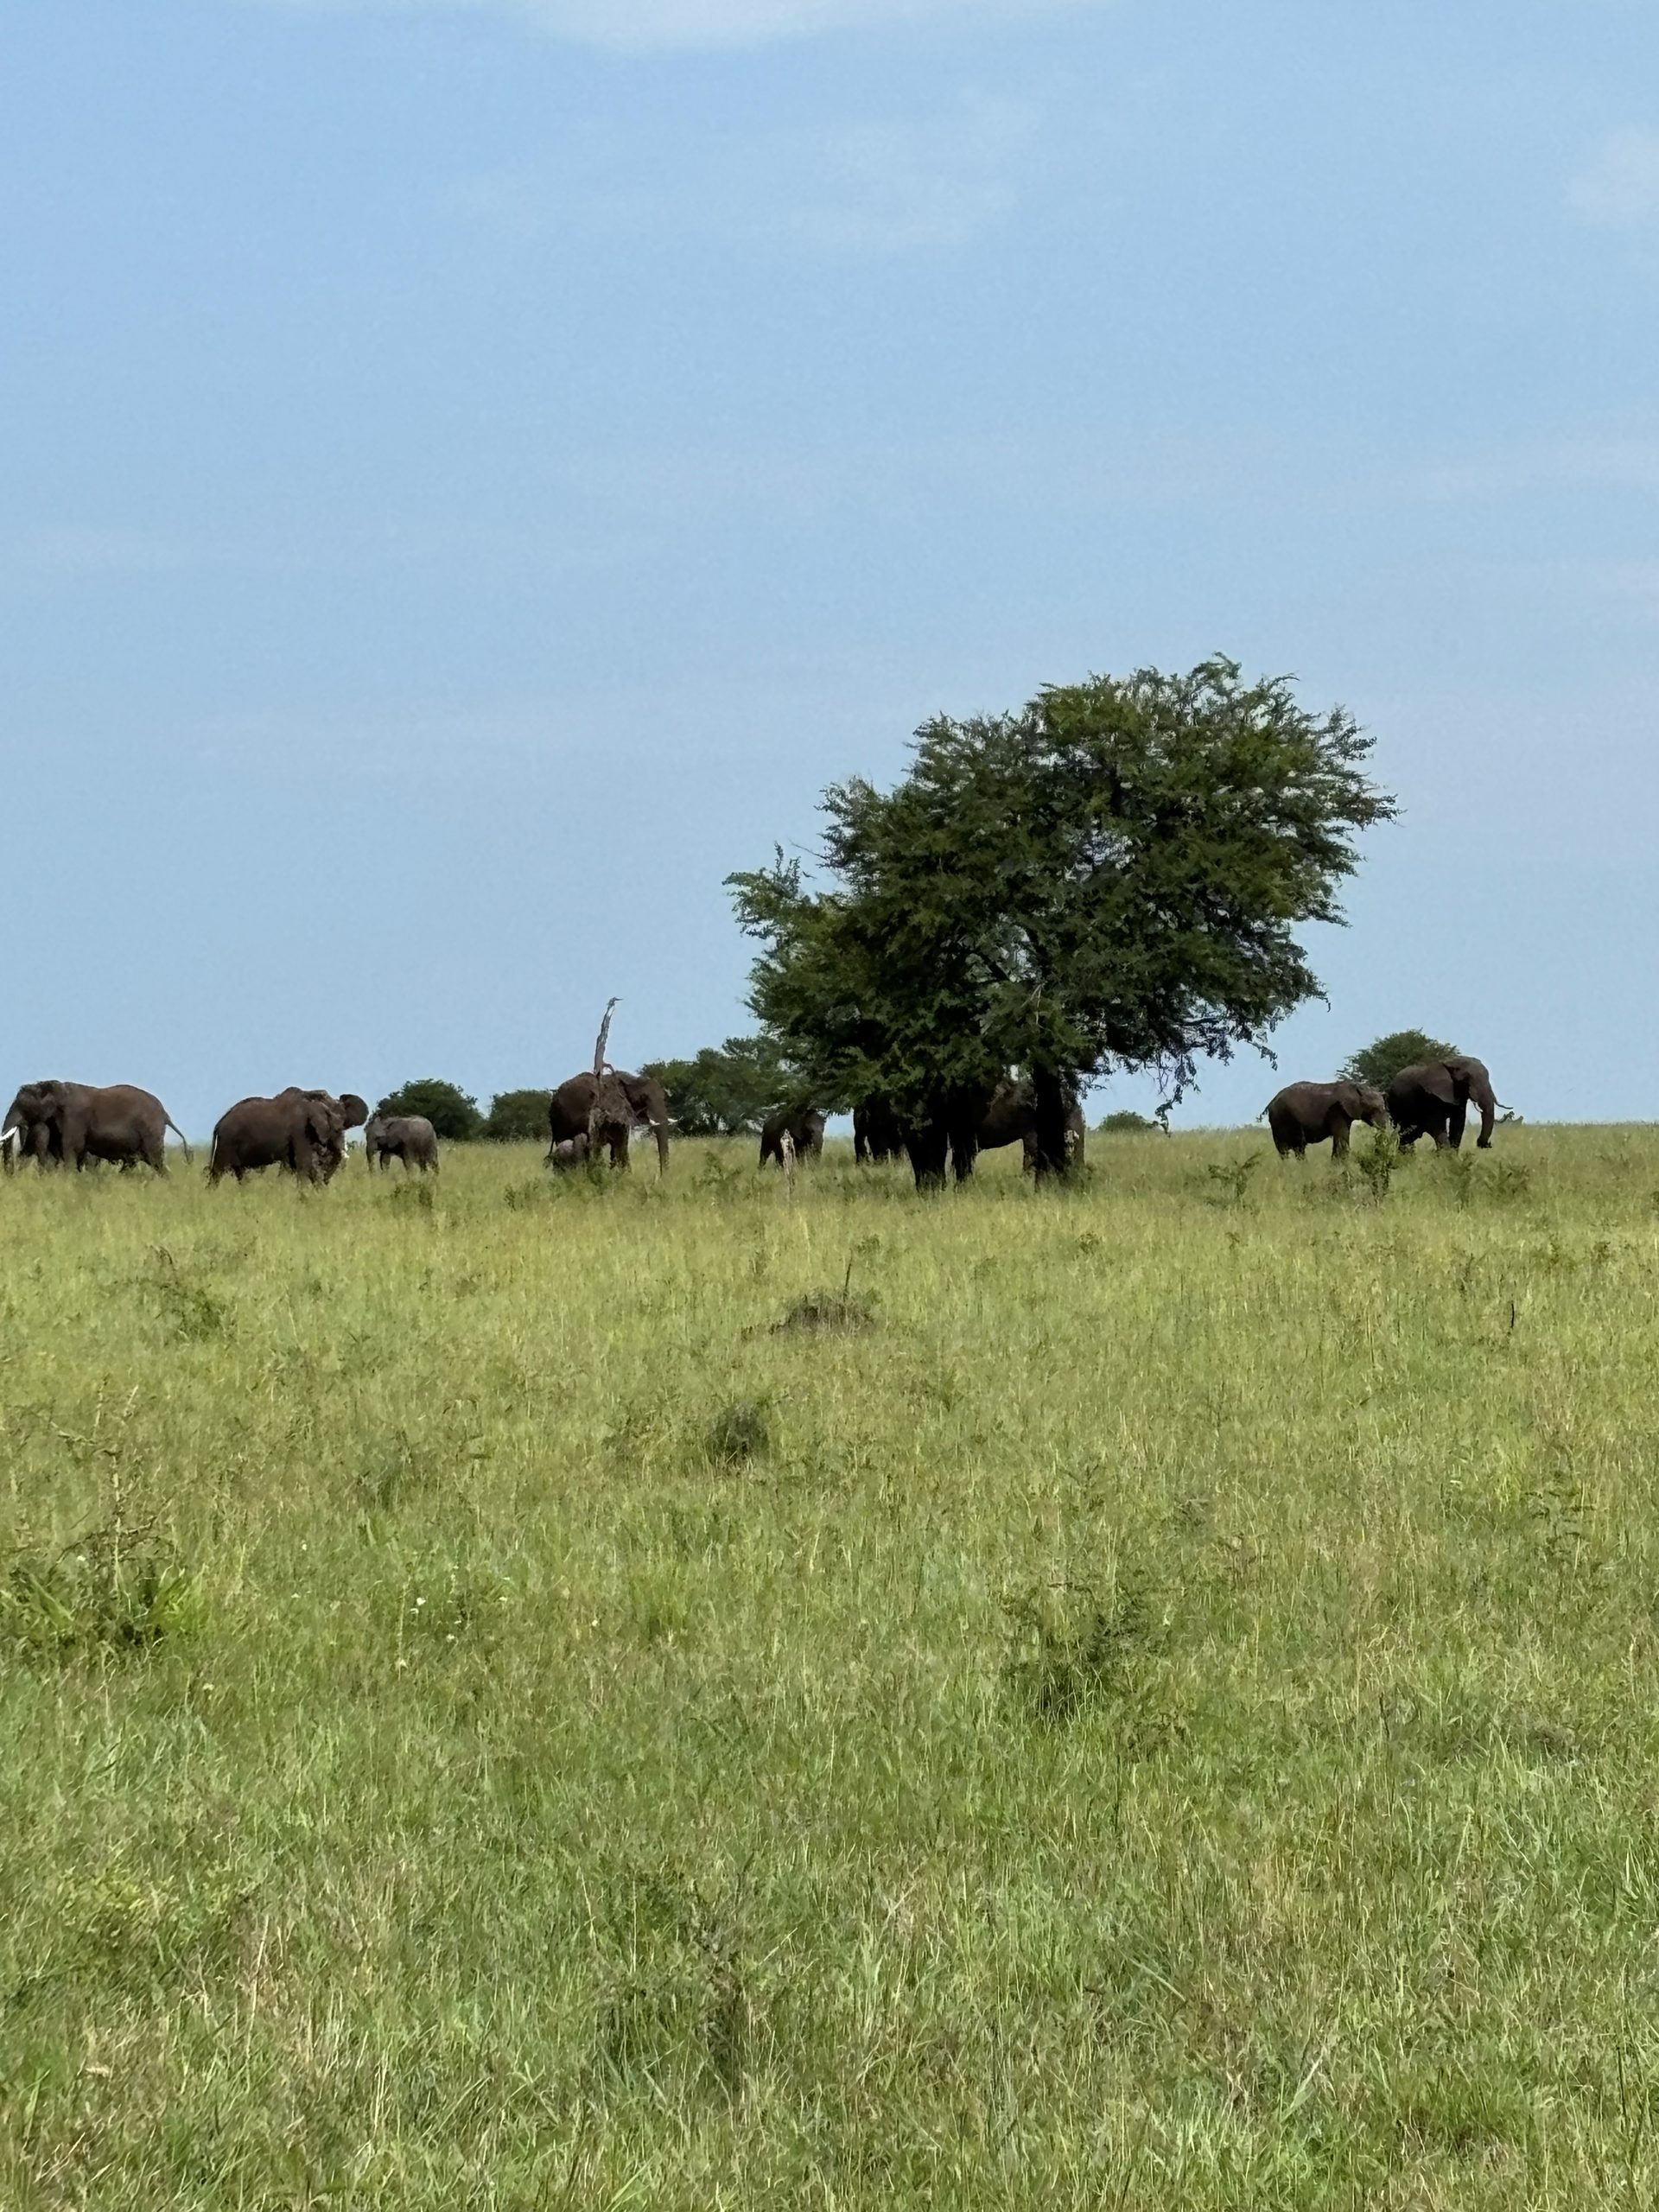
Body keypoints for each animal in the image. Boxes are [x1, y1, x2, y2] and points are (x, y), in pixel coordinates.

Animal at [1, 1081, 191, 1172]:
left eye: (23, 1105)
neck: (53, 1086)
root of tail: (165, 1115)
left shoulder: (73, 1119)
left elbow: (70, 1151)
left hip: (150, 1133)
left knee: (156, 1161)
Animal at [209, 1087, 366, 1184]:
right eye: (336, 1129)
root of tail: (218, 1124)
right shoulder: (300, 1130)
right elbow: (304, 1163)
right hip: (227, 1142)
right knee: (217, 1172)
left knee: (240, 1173)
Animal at [547, 1069, 670, 1172]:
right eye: (643, 1097)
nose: (661, 1178)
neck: (629, 1079)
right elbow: (620, 1145)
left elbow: (618, 1146)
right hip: (561, 1121)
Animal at [1266, 1079, 1387, 1159]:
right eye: (1374, 1109)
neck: (1356, 1088)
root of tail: (1271, 1103)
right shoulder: (1337, 1111)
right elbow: (1342, 1139)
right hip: (1279, 1120)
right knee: (1284, 1150)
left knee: (1299, 1149)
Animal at [1387, 1056, 1498, 1151]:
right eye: (1466, 1079)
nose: (1485, 1144)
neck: (1450, 1062)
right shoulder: (1430, 1097)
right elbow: (1437, 1127)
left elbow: (1458, 1126)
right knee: (1404, 1132)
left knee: (1409, 1135)